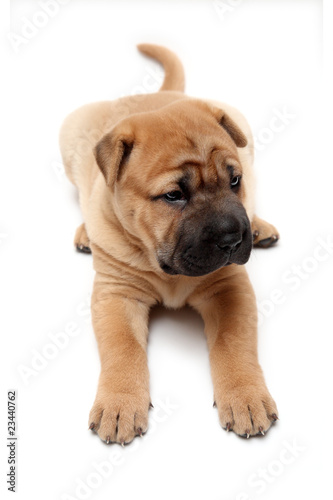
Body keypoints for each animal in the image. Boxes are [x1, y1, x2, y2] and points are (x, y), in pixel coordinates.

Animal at [59, 45, 278, 444]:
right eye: (174, 195)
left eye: (234, 181)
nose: (233, 239)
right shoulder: (116, 293)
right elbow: (122, 347)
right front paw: (119, 404)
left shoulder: (230, 286)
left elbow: (234, 342)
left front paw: (246, 396)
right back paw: (85, 232)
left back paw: (259, 225)